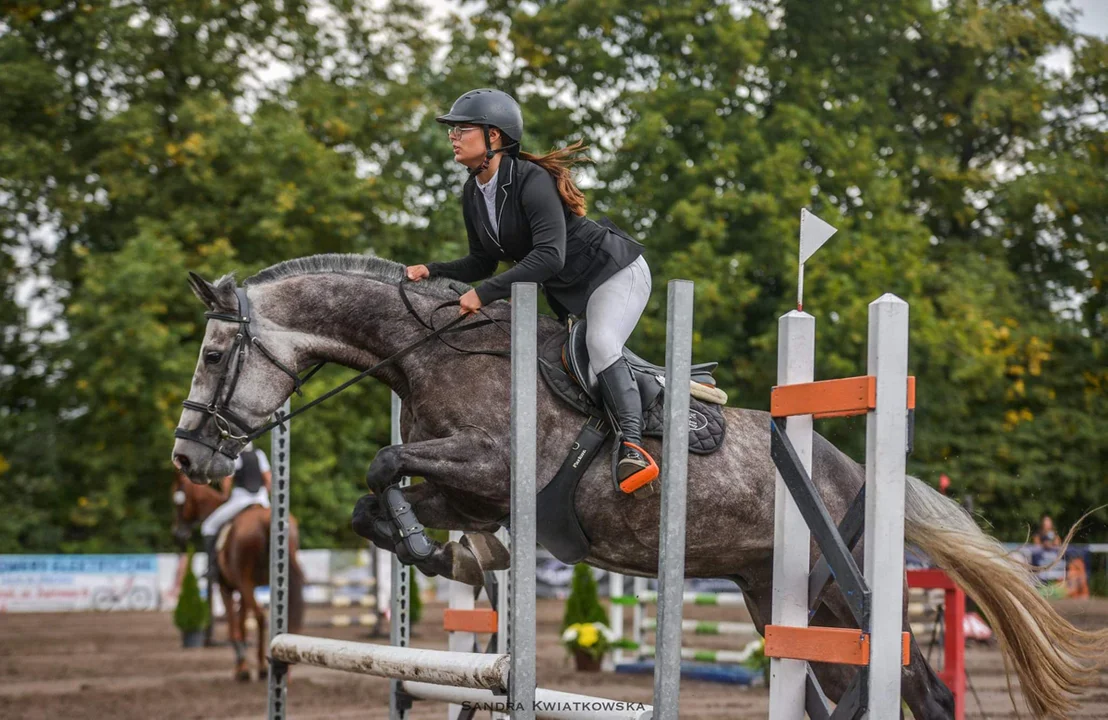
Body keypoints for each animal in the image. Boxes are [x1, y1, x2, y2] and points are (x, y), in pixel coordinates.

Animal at [170, 474, 305, 677]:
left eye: (179, 502)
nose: (178, 534)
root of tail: (264, 520)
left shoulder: (227, 587)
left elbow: (234, 625)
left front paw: (241, 668)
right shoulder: (243, 590)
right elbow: (241, 621)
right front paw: (243, 664)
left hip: (244, 582)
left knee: (260, 617)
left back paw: (262, 668)